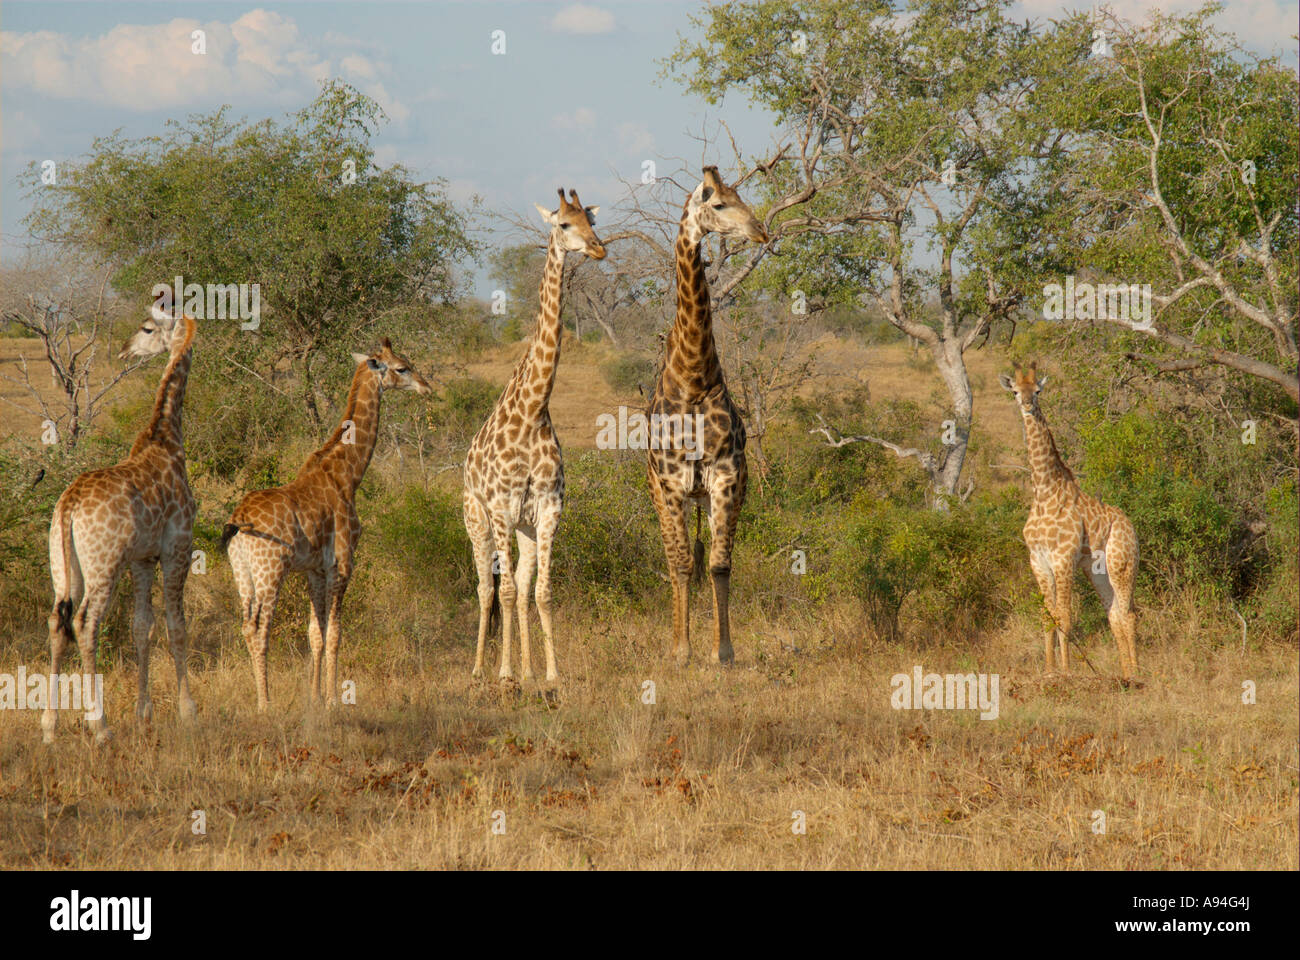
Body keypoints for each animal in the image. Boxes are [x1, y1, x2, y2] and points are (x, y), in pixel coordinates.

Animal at [42, 302, 198, 744]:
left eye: (146, 329)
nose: (127, 350)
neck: (167, 438)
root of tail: (69, 505)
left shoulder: (142, 558)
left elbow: (142, 627)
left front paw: (145, 712)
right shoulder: (177, 548)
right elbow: (176, 626)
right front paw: (187, 711)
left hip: (63, 564)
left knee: (56, 621)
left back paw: (49, 726)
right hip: (104, 565)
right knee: (84, 622)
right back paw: (100, 726)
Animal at [223, 340, 431, 710]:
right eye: (402, 367)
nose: (427, 387)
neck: (348, 474)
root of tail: (239, 522)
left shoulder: (314, 569)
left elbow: (314, 634)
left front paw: (315, 696)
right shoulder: (343, 562)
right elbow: (335, 633)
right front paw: (334, 698)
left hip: (242, 572)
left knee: (246, 626)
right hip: (270, 571)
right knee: (261, 629)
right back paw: (266, 703)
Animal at [463, 188, 605, 684]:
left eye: (591, 221)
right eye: (563, 224)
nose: (598, 249)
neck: (533, 411)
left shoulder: (547, 508)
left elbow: (540, 592)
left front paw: (549, 675)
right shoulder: (501, 508)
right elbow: (503, 593)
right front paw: (504, 674)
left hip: (522, 526)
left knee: (521, 586)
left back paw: (525, 671)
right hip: (477, 519)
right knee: (487, 589)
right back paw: (482, 670)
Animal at [999, 363, 1139, 680]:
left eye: (1038, 391)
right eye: (1015, 391)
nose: (1028, 405)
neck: (1043, 492)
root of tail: (1131, 525)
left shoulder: (1063, 559)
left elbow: (1064, 616)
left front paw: (1065, 671)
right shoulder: (1037, 560)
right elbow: (1046, 616)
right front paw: (1049, 670)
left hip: (1121, 564)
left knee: (1128, 613)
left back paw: (1138, 674)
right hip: (1096, 570)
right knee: (1114, 614)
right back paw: (1125, 674)